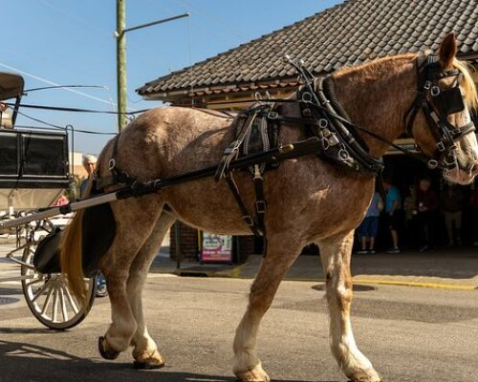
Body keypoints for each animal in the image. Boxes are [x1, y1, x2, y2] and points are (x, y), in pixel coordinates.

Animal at [59, 33, 478, 382]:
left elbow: (341, 294)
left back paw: (144, 348)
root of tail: (120, 135)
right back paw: (118, 335)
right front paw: (247, 360)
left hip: (160, 214)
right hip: (137, 211)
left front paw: (353, 362)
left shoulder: (339, 236)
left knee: (135, 277)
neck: (328, 136)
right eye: (444, 94)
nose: (469, 164)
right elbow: (263, 293)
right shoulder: (287, 235)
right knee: (115, 268)